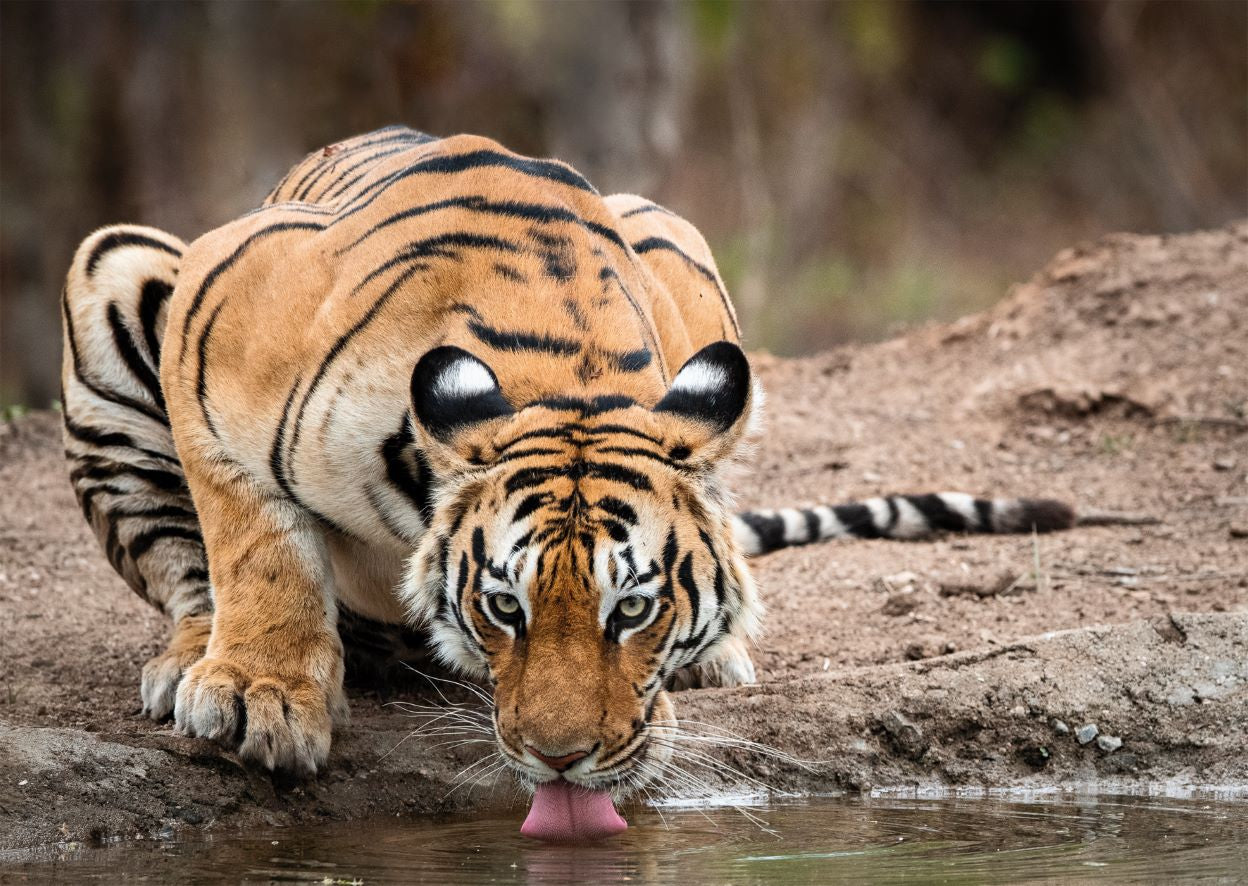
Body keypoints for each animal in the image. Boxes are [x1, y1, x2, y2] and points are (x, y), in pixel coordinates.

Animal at [60, 126, 1073, 838]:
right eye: (504, 607)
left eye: (635, 610)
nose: (559, 762)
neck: (562, 372)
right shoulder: (219, 303)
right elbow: (253, 537)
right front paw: (258, 693)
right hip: (116, 262)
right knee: (185, 562)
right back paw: (191, 659)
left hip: (673, 231)